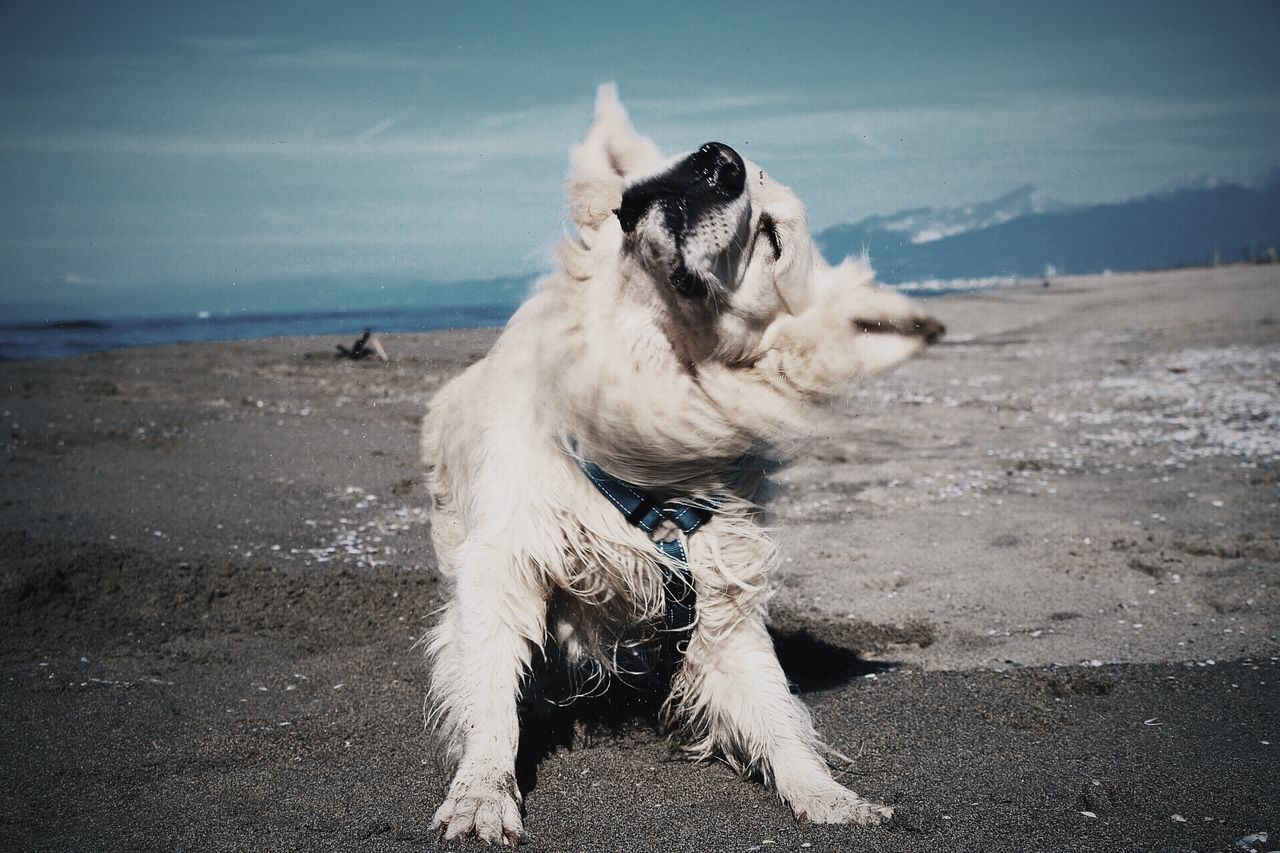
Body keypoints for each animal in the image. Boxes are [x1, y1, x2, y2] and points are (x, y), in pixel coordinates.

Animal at [419, 83, 942, 840]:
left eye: (773, 236)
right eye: (692, 157)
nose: (718, 161)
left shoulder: (720, 589)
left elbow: (775, 709)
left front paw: (824, 793)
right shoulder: (504, 558)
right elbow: (489, 696)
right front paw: (481, 794)